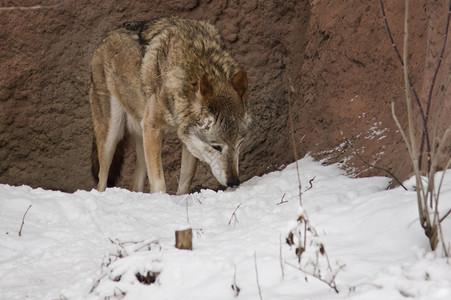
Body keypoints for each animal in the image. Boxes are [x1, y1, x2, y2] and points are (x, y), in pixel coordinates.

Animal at [88, 17, 251, 195]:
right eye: (216, 147)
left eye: (239, 144)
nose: (234, 183)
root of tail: (105, 40)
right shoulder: (152, 128)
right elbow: (159, 184)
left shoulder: (187, 140)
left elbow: (185, 183)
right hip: (112, 136)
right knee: (100, 181)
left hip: (141, 138)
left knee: (135, 184)